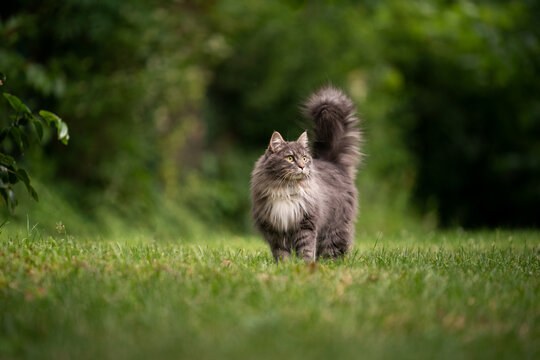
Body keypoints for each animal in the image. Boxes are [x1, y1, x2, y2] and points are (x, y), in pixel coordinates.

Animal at [250, 86, 362, 262]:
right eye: (290, 158)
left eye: (304, 158)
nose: (302, 166)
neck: (287, 189)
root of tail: (332, 162)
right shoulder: (275, 228)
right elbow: (280, 251)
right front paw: (284, 265)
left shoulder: (306, 223)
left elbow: (306, 247)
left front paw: (306, 264)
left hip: (335, 226)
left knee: (335, 247)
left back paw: (331, 262)